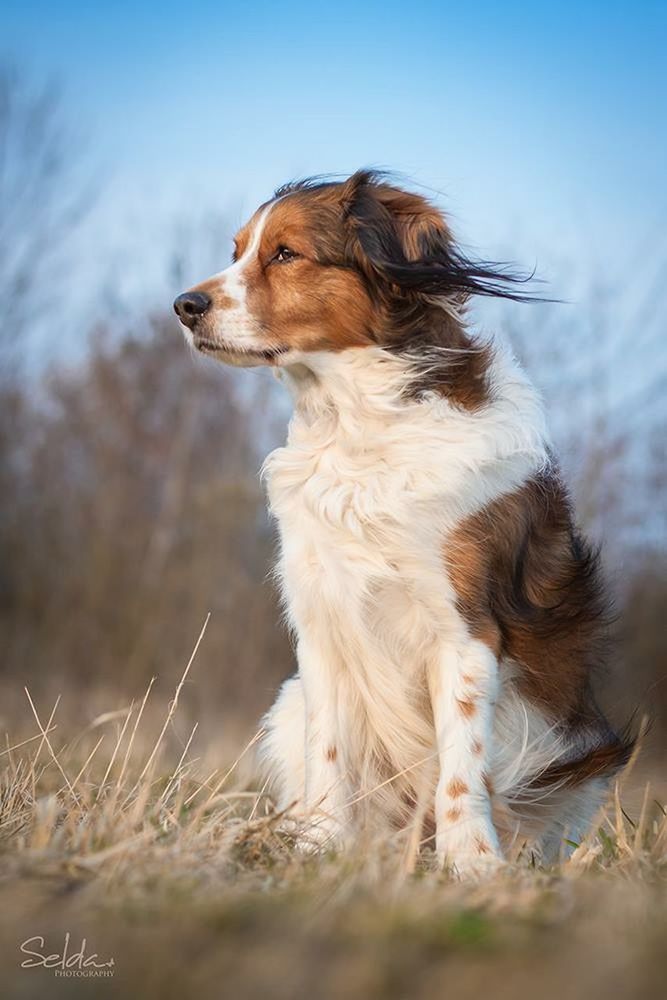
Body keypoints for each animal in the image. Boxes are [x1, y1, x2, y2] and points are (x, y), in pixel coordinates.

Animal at [175, 172, 636, 876]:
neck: (360, 432)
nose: (183, 305)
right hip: (286, 704)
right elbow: (329, 755)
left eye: (285, 253)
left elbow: (461, 769)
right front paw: (319, 849)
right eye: (237, 251)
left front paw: (472, 865)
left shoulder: (465, 633)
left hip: (585, 758)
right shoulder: (321, 626)